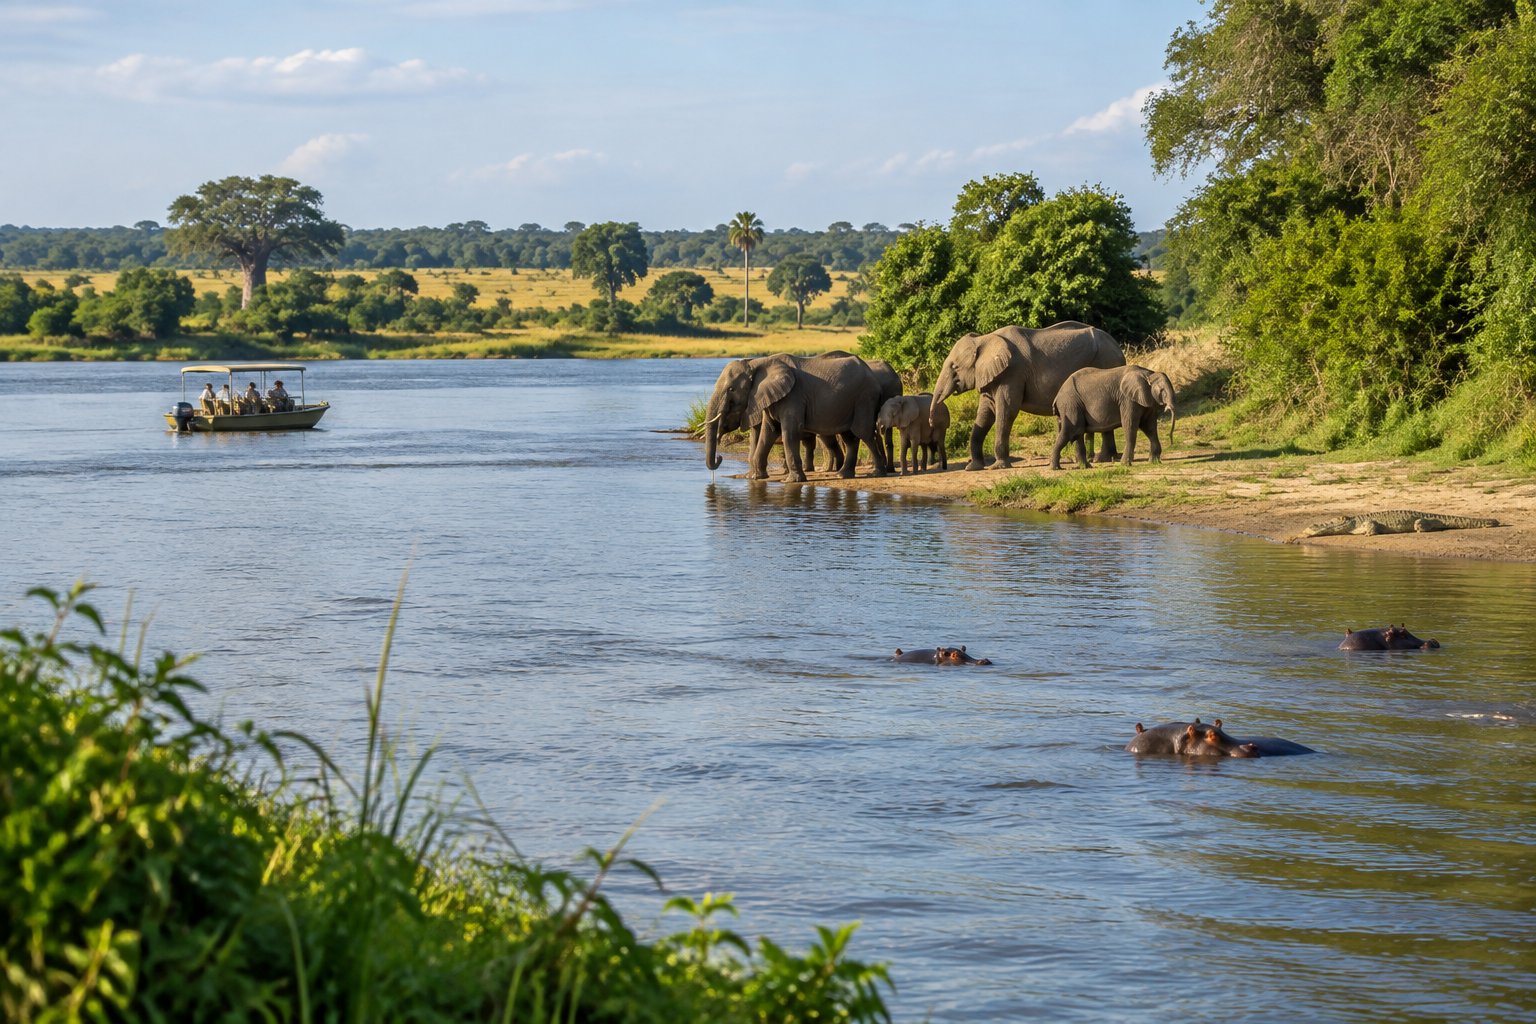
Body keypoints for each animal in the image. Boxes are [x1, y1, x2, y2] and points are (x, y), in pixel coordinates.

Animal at [702, 353, 891, 482]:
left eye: (731, 389)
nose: (719, 458)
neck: (757, 362)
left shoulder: (793, 396)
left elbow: (789, 432)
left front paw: (791, 481)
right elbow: (768, 432)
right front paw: (757, 478)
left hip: (864, 397)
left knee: (863, 432)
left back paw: (876, 473)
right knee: (850, 437)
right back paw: (843, 475)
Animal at [929, 321, 1127, 471]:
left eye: (954, 367)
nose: (931, 422)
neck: (984, 338)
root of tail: (1119, 348)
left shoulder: (1012, 373)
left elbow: (1006, 411)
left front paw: (997, 467)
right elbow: (985, 414)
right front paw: (973, 468)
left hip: (1106, 363)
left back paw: (1102, 459)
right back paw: (1105, 459)